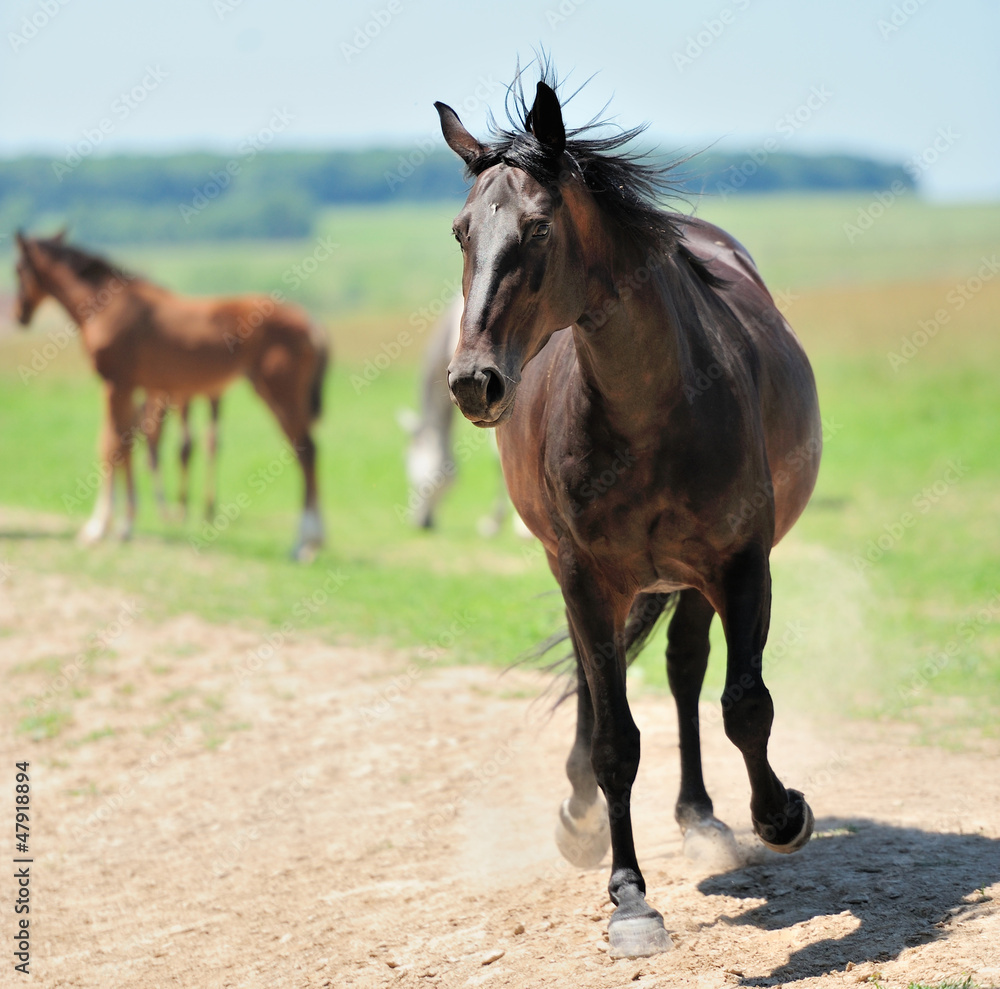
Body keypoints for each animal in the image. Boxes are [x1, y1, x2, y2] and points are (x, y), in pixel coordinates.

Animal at [13, 232, 328, 560]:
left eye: (17, 269)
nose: (19, 314)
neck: (107, 305)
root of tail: (312, 324)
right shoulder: (131, 388)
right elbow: (125, 445)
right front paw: (125, 526)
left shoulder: (115, 383)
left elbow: (110, 446)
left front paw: (97, 528)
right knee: (306, 451)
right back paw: (311, 541)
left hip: (279, 393)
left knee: (306, 451)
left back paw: (306, 543)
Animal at [435, 72, 822, 958]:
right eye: (463, 231)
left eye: (538, 229)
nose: (474, 381)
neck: (652, 407)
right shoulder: (585, 574)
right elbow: (615, 738)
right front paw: (630, 898)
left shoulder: (741, 562)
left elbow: (744, 702)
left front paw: (781, 813)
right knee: (600, 680)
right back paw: (582, 815)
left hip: (687, 578)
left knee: (685, 670)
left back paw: (703, 818)